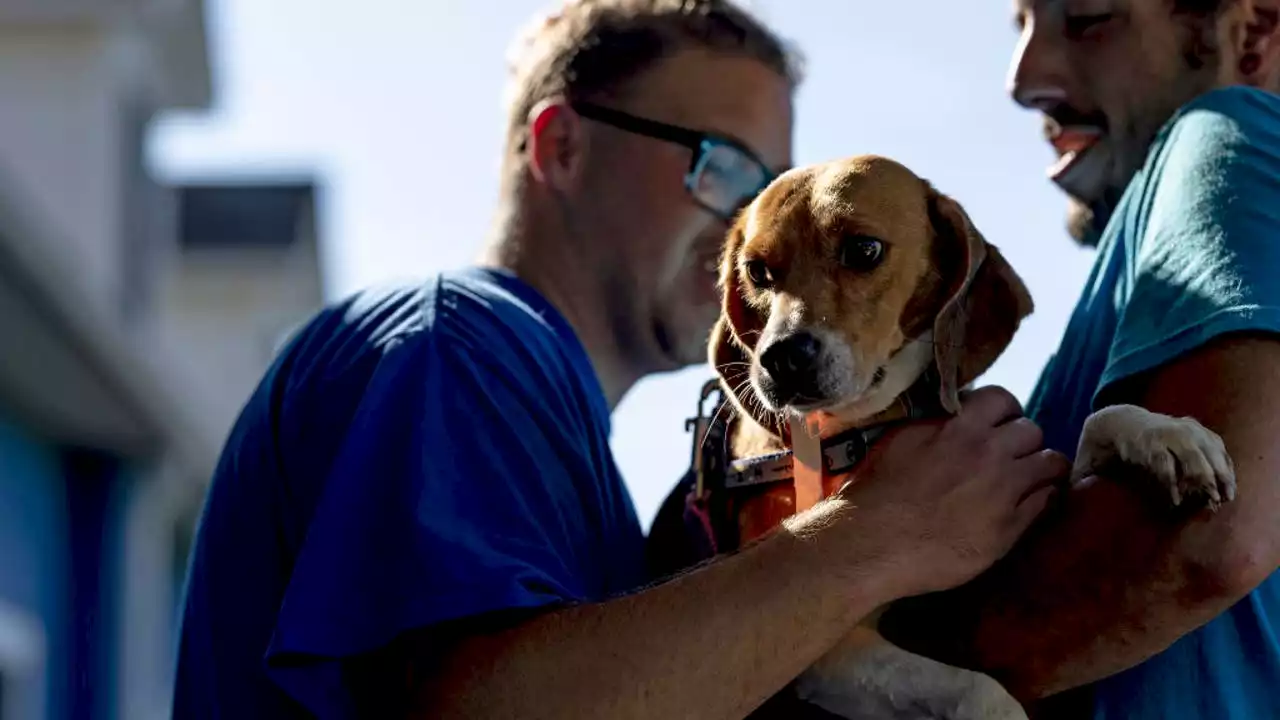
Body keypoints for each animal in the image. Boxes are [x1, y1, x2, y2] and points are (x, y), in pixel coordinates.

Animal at [711, 154, 1239, 712]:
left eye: (863, 249)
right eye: (757, 271)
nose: (780, 358)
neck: (869, 425)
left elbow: (1099, 422)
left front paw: (1166, 435)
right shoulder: (831, 650)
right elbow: (982, 692)